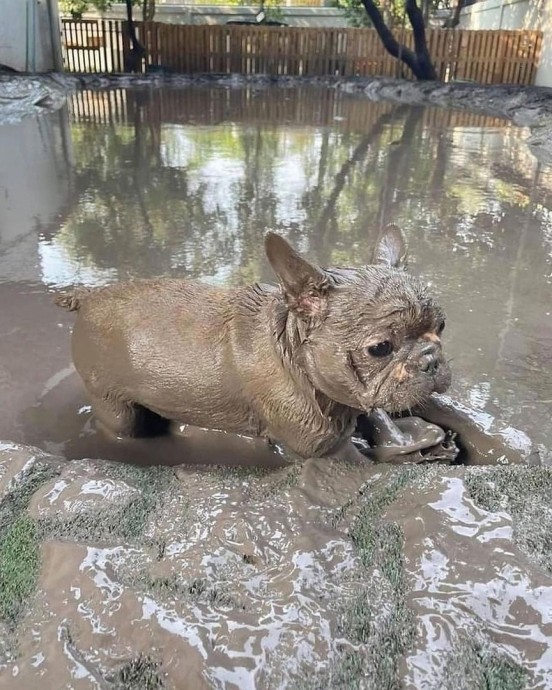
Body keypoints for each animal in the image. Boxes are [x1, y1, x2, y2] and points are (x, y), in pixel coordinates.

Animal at [55, 228, 448, 460]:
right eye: (380, 348)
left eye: (442, 327)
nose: (431, 359)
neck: (293, 352)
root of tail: (88, 296)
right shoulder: (316, 446)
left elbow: (374, 411)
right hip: (113, 404)